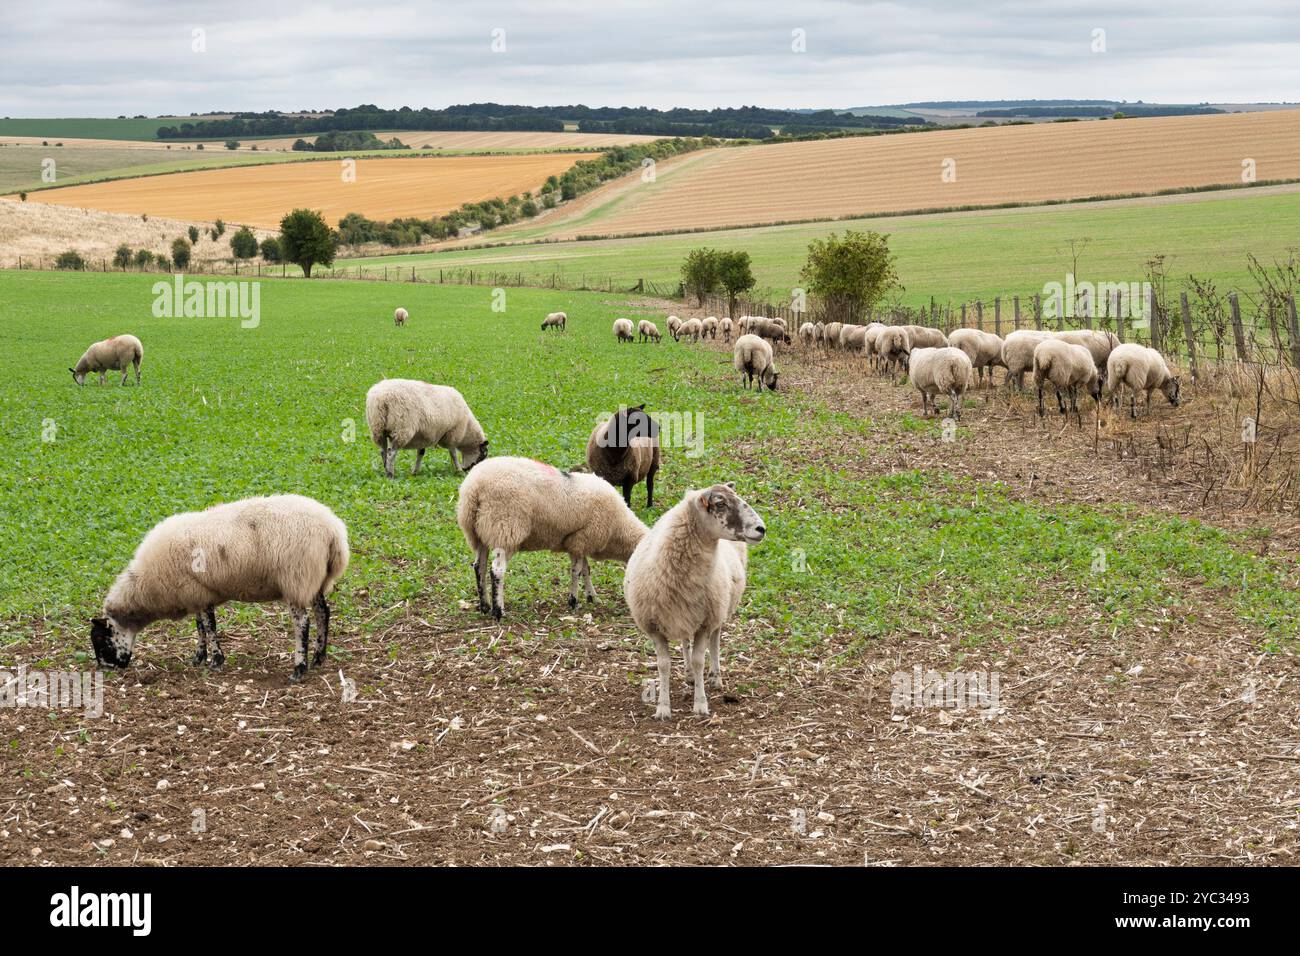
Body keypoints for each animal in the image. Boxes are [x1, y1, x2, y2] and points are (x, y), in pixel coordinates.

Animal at [90, 494, 350, 683]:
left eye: (101, 639)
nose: (111, 670)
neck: (145, 585)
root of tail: (333, 532)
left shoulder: (197, 593)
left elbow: (209, 627)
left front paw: (215, 660)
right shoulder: (195, 593)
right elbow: (200, 627)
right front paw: (198, 657)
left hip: (296, 578)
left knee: (303, 623)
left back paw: (299, 668)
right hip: (315, 579)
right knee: (323, 613)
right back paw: (318, 657)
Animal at [456, 456, 648, 619]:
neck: (619, 527)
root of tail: (474, 487)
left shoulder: (580, 542)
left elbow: (586, 569)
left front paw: (592, 596)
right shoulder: (582, 539)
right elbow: (577, 571)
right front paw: (573, 601)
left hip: (480, 532)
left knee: (479, 567)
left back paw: (484, 606)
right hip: (504, 527)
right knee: (496, 570)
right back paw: (498, 611)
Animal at [623, 483, 765, 719]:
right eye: (720, 503)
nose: (761, 529)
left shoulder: (705, 622)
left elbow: (700, 660)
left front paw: (700, 704)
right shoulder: (654, 627)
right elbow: (663, 665)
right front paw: (663, 707)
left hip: (719, 609)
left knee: (715, 640)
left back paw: (715, 677)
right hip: (685, 613)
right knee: (684, 640)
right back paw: (688, 674)